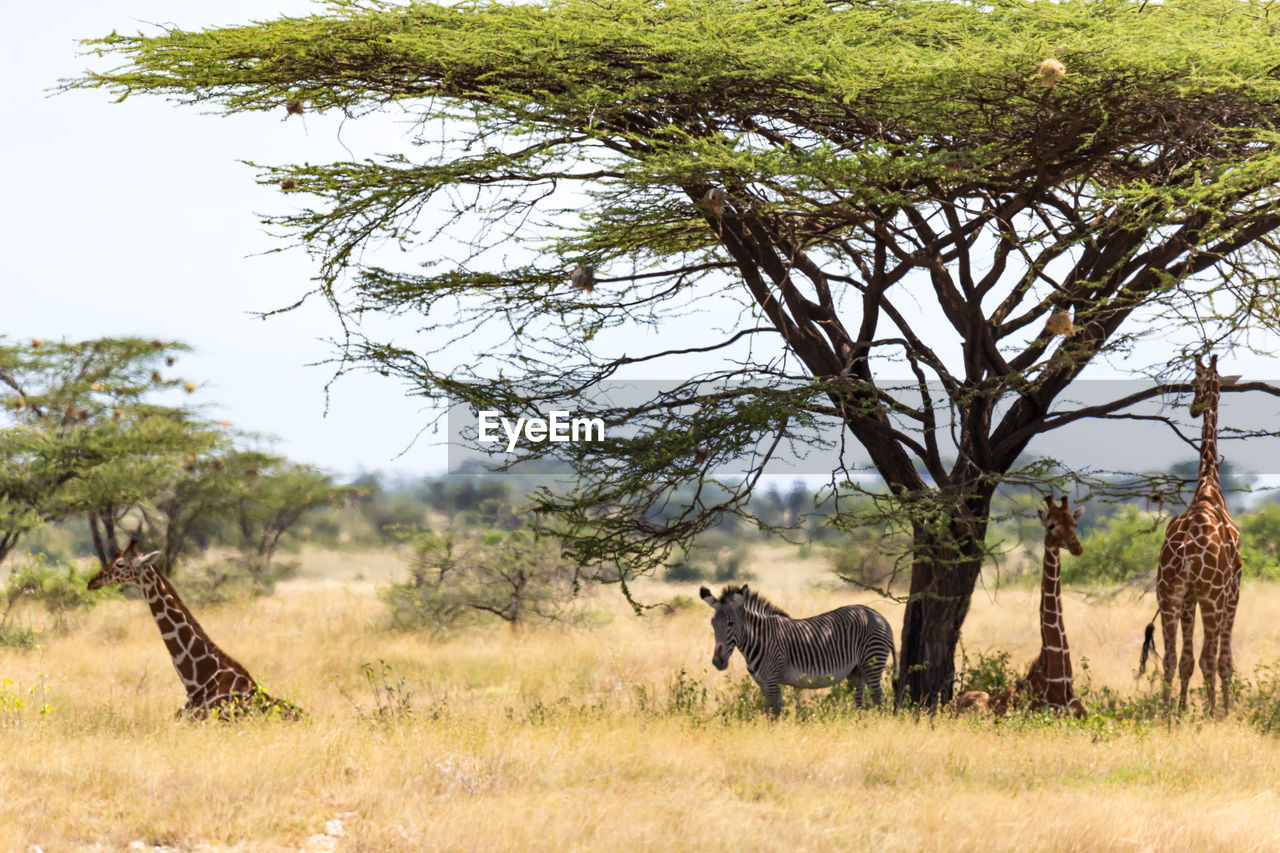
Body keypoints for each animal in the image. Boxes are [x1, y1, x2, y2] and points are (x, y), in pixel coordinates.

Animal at [701, 581, 901, 712]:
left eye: (731, 623)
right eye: (712, 624)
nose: (717, 662)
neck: (759, 640)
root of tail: (879, 616)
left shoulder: (772, 681)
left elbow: (773, 712)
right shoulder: (763, 684)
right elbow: (770, 711)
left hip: (872, 661)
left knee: (877, 695)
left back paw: (876, 723)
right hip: (856, 670)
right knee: (860, 695)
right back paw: (858, 721)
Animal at [1146, 350, 1244, 712]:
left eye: (1197, 382)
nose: (1194, 408)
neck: (1207, 487)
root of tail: (1187, 550)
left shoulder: (1187, 595)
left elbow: (1185, 660)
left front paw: (1182, 709)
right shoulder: (1232, 590)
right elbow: (1222, 659)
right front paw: (1226, 710)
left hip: (1168, 593)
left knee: (1172, 657)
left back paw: (1165, 712)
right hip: (1211, 597)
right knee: (1208, 658)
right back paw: (1213, 712)